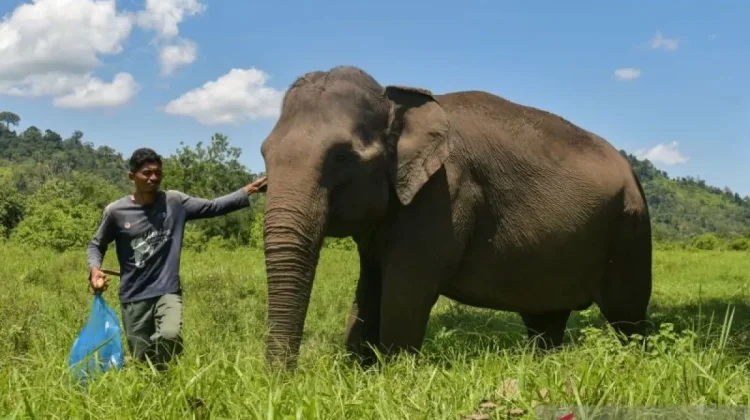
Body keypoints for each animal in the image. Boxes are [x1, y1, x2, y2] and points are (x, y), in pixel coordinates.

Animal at [259, 65, 652, 370]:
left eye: (343, 156)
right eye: (265, 152)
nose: (282, 382)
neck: (396, 101)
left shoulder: (444, 196)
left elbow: (405, 293)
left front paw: (393, 376)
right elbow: (369, 289)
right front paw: (357, 372)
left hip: (630, 228)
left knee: (627, 313)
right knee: (546, 319)